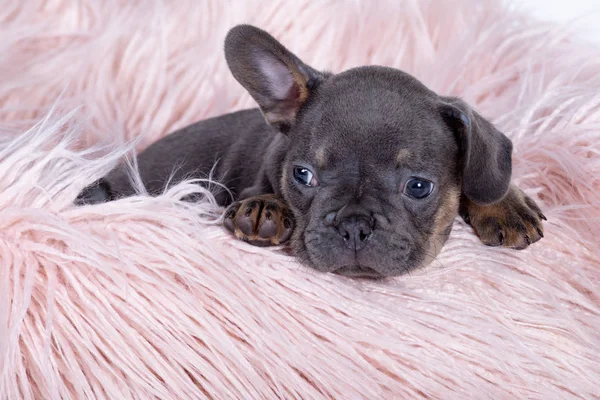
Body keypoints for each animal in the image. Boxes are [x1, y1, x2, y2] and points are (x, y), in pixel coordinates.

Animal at [77, 24, 548, 278]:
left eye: (418, 187)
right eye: (302, 175)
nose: (354, 226)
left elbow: (482, 172)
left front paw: (504, 203)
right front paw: (264, 208)